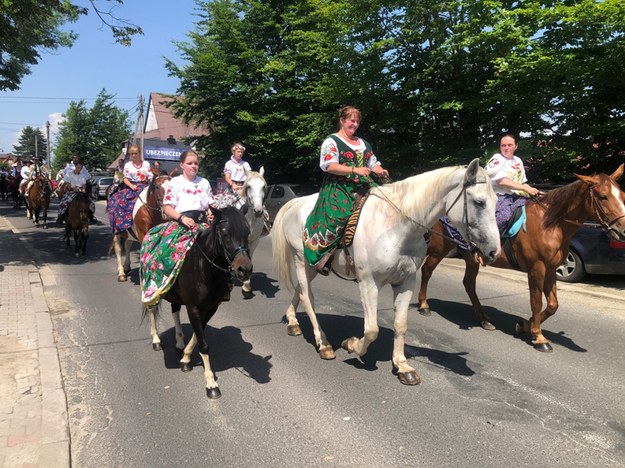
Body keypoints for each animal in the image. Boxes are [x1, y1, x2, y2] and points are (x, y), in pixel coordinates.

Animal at [270, 159, 500, 386]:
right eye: (479, 202)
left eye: (497, 201)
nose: (494, 252)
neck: (397, 228)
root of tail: (294, 203)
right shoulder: (369, 283)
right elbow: (372, 329)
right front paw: (352, 345)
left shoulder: (406, 282)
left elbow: (401, 325)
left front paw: (402, 366)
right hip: (302, 260)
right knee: (308, 297)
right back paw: (323, 343)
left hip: (314, 266)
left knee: (300, 291)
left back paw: (293, 322)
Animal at [414, 165, 624, 352]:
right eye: (603, 197)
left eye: (622, 195)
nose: (622, 231)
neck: (551, 224)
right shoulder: (536, 268)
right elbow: (536, 302)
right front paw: (539, 337)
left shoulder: (550, 269)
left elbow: (553, 305)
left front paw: (525, 325)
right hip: (439, 248)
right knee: (427, 271)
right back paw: (424, 306)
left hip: (470, 257)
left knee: (469, 284)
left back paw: (484, 319)